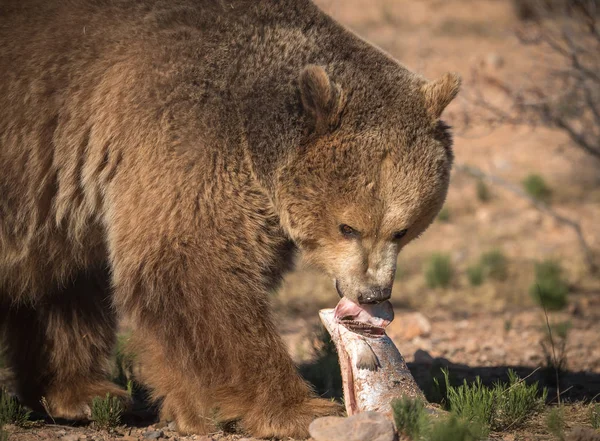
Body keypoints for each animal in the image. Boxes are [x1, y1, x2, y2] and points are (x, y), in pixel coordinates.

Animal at [0, 0, 460, 434]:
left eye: (402, 230)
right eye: (348, 227)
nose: (371, 295)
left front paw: (192, 407)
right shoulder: (182, 131)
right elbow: (199, 269)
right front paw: (298, 407)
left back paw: (85, 393)